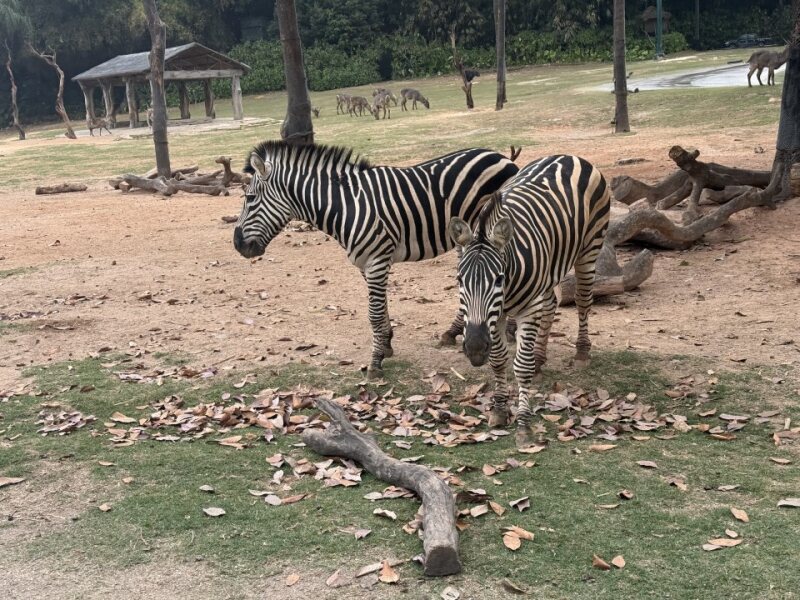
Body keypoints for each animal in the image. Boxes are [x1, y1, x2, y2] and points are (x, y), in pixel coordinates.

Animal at [233, 141, 519, 378]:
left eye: (250, 198)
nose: (237, 244)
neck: (345, 206)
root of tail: (500, 156)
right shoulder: (366, 263)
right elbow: (380, 309)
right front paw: (387, 344)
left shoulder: (377, 261)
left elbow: (373, 312)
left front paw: (375, 361)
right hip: (465, 236)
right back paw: (453, 332)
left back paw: (510, 329)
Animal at [448, 155, 610, 448]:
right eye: (459, 280)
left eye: (498, 279)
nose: (474, 348)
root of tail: (568, 156)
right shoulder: (498, 314)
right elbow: (498, 360)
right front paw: (500, 411)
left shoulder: (526, 307)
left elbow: (520, 367)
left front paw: (523, 425)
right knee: (551, 304)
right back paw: (540, 357)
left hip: (591, 246)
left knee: (583, 300)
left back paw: (581, 351)